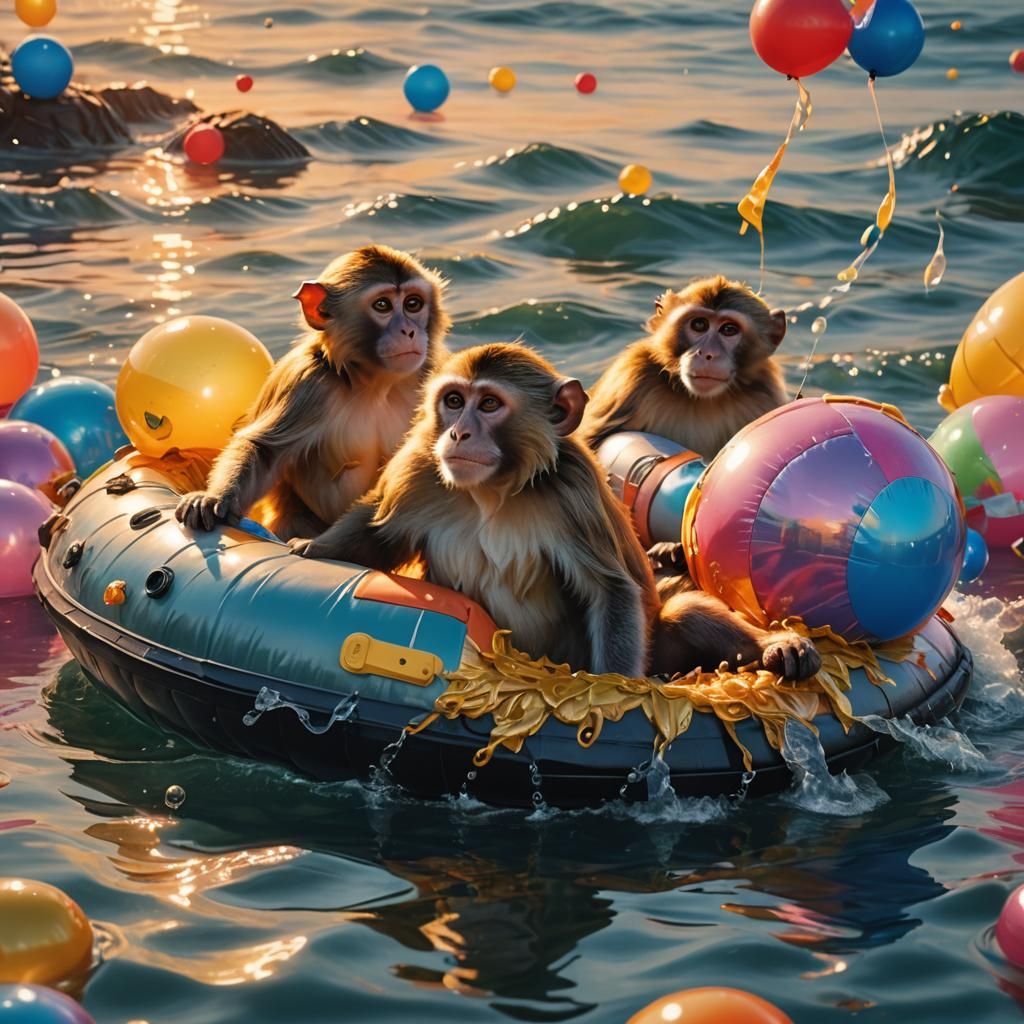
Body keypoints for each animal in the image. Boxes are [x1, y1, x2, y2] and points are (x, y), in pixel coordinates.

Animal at [175, 244, 451, 540]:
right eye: (382, 305)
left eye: (413, 304)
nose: (408, 331)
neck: (377, 384)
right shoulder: (306, 384)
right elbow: (264, 449)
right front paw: (214, 498)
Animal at [289, 343, 820, 682]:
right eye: (454, 401)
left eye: (489, 404)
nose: (458, 433)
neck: (493, 493)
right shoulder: (421, 469)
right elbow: (378, 532)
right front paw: (309, 546)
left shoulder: (573, 493)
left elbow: (612, 591)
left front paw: (614, 690)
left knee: (684, 612)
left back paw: (772, 649)